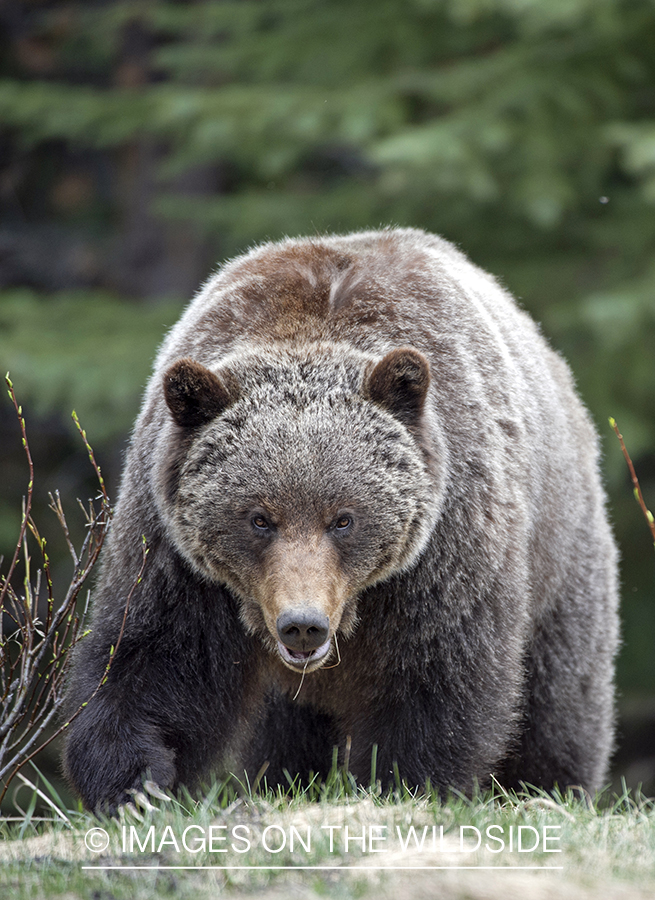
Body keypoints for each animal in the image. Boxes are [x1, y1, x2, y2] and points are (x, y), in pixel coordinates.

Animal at [61, 225, 620, 808]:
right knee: (284, 730)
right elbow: (156, 655)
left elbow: (437, 676)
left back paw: (549, 786)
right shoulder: (176, 551)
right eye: (259, 518)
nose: (302, 625)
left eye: (344, 518)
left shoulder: (446, 546)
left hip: (561, 555)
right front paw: (135, 785)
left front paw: (403, 781)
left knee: (559, 698)